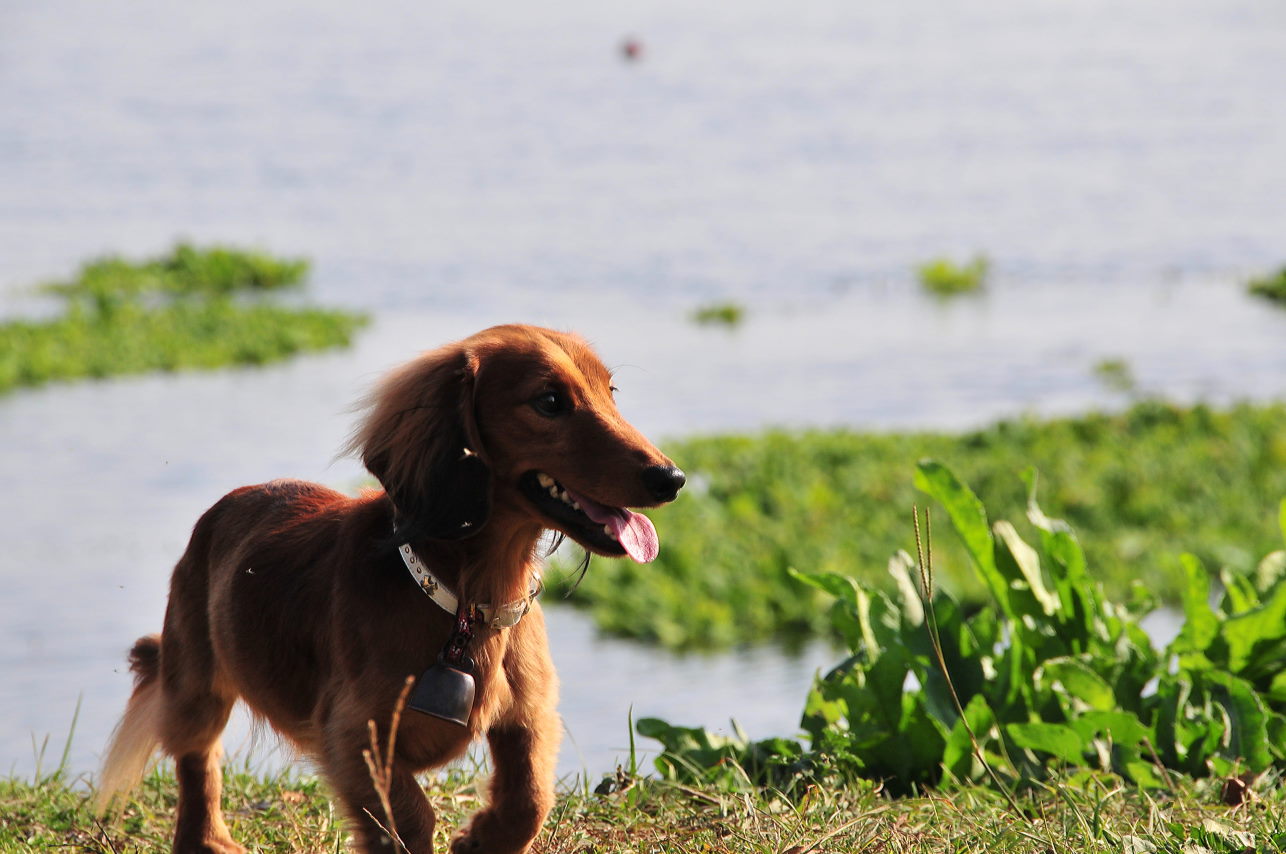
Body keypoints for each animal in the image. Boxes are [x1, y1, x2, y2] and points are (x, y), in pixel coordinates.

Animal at [93, 324, 684, 848]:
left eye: (610, 391)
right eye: (550, 401)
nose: (671, 478)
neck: (465, 603)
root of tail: (229, 503)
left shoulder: (530, 716)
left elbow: (530, 799)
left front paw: (481, 838)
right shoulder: (354, 738)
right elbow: (411, 817)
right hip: (196, 683)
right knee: (198, 764)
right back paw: (209, 840)